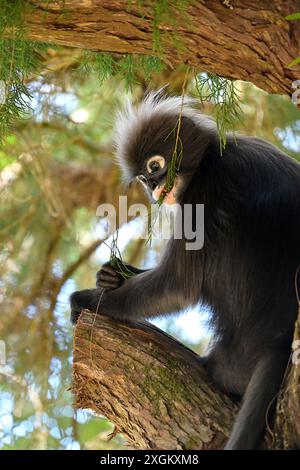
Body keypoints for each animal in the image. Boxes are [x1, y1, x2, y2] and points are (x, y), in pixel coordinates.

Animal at [70, 90, 300, 450]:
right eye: (143, 177)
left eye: (155, 165)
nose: (152, 187)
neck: (210, 160)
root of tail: (279, 337)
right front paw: (115, 274)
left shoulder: (201, 195)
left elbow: (177, 286)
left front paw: (89, 299)